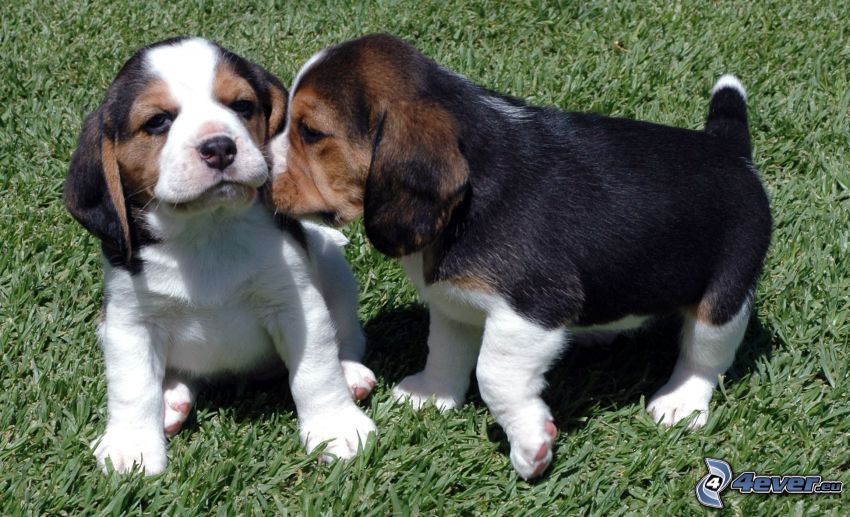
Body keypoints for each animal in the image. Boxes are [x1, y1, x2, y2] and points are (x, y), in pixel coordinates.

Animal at [68, 37, 380, 476]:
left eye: (243, 106)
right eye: (158, 122)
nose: (219, 147)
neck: (207, 230)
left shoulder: (295, 302)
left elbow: (316, 370)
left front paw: (335, 427)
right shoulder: (129, 322)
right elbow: (133, 387)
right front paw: (132, 446)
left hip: (334, 272)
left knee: (348, 336)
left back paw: (350, 373)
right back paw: (171, 400)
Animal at [268, 33, 772, 480]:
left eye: (310, 132)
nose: (259, 168)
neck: (469, 192)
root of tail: (729, 149)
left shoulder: (534, 309)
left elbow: (495, 375)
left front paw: (531, 443)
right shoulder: (454, 302)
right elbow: (445, 351)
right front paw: (432, 395)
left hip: (724, 296)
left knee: (705, 356)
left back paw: (680, 401)